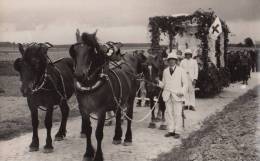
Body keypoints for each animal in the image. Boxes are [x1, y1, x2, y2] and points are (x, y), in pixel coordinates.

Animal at [69, 31, 146, 161]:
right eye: (75, 51)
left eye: (90, 50)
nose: (79, 75)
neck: (90, 86)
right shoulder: (84, 110)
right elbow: (88, 130)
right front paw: (88, 153)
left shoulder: (101, 111)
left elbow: (98, 133)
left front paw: (98, 156)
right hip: (119, 100)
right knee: (119, 115)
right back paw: (117, 137)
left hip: (130, 99)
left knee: (129, 117)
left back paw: (127, 138)